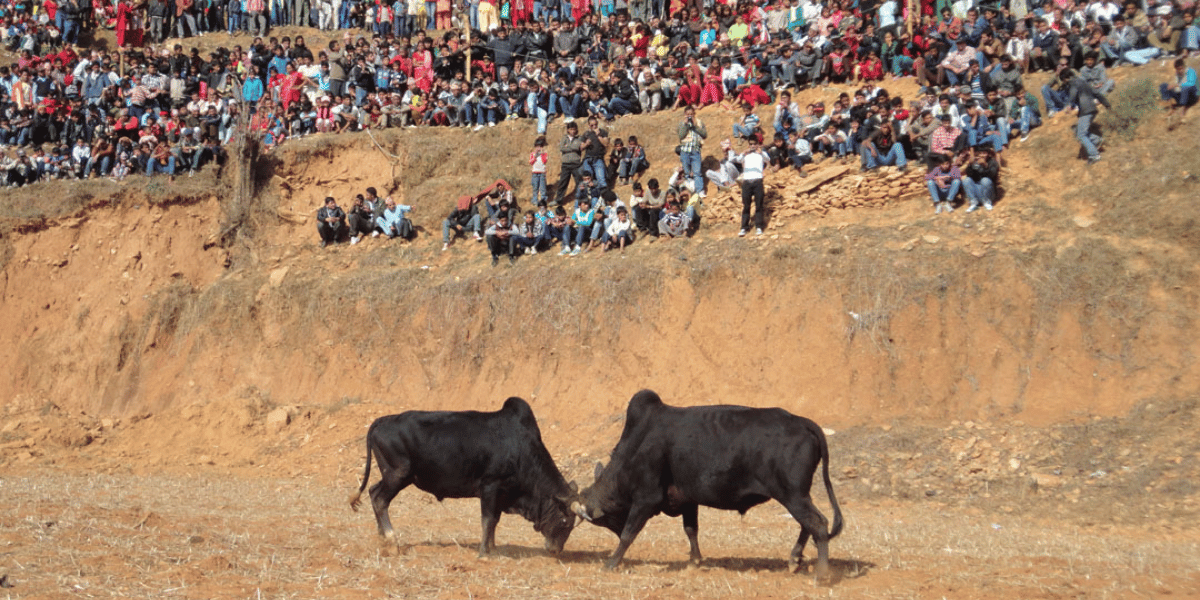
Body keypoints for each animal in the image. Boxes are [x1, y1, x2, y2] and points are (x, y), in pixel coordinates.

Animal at [349, 397, 578, 556]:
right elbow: (488, 519)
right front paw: (484, 552)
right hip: (398, 474)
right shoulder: (491, 486)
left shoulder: (500, 494)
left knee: (373, 492)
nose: (556, 550)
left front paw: (493, 548)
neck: (521, 447)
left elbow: (494, 521)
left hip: (392, 476)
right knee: (380, 499)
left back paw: (382, 538)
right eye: (566, 521)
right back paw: (391, 539)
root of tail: (382, 421)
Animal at [571, 390, 844, 580]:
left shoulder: (645, 499)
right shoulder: (688, 500)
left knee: (818, 524)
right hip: (798, 496)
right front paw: (695, 561)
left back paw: (821, 574)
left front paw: (611, 562)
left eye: (606, 521)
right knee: (809, 525)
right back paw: (794, 560)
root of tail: (802, 422)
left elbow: (629, 533)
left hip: (793, 495)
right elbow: (691, 530)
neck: (637, 443)